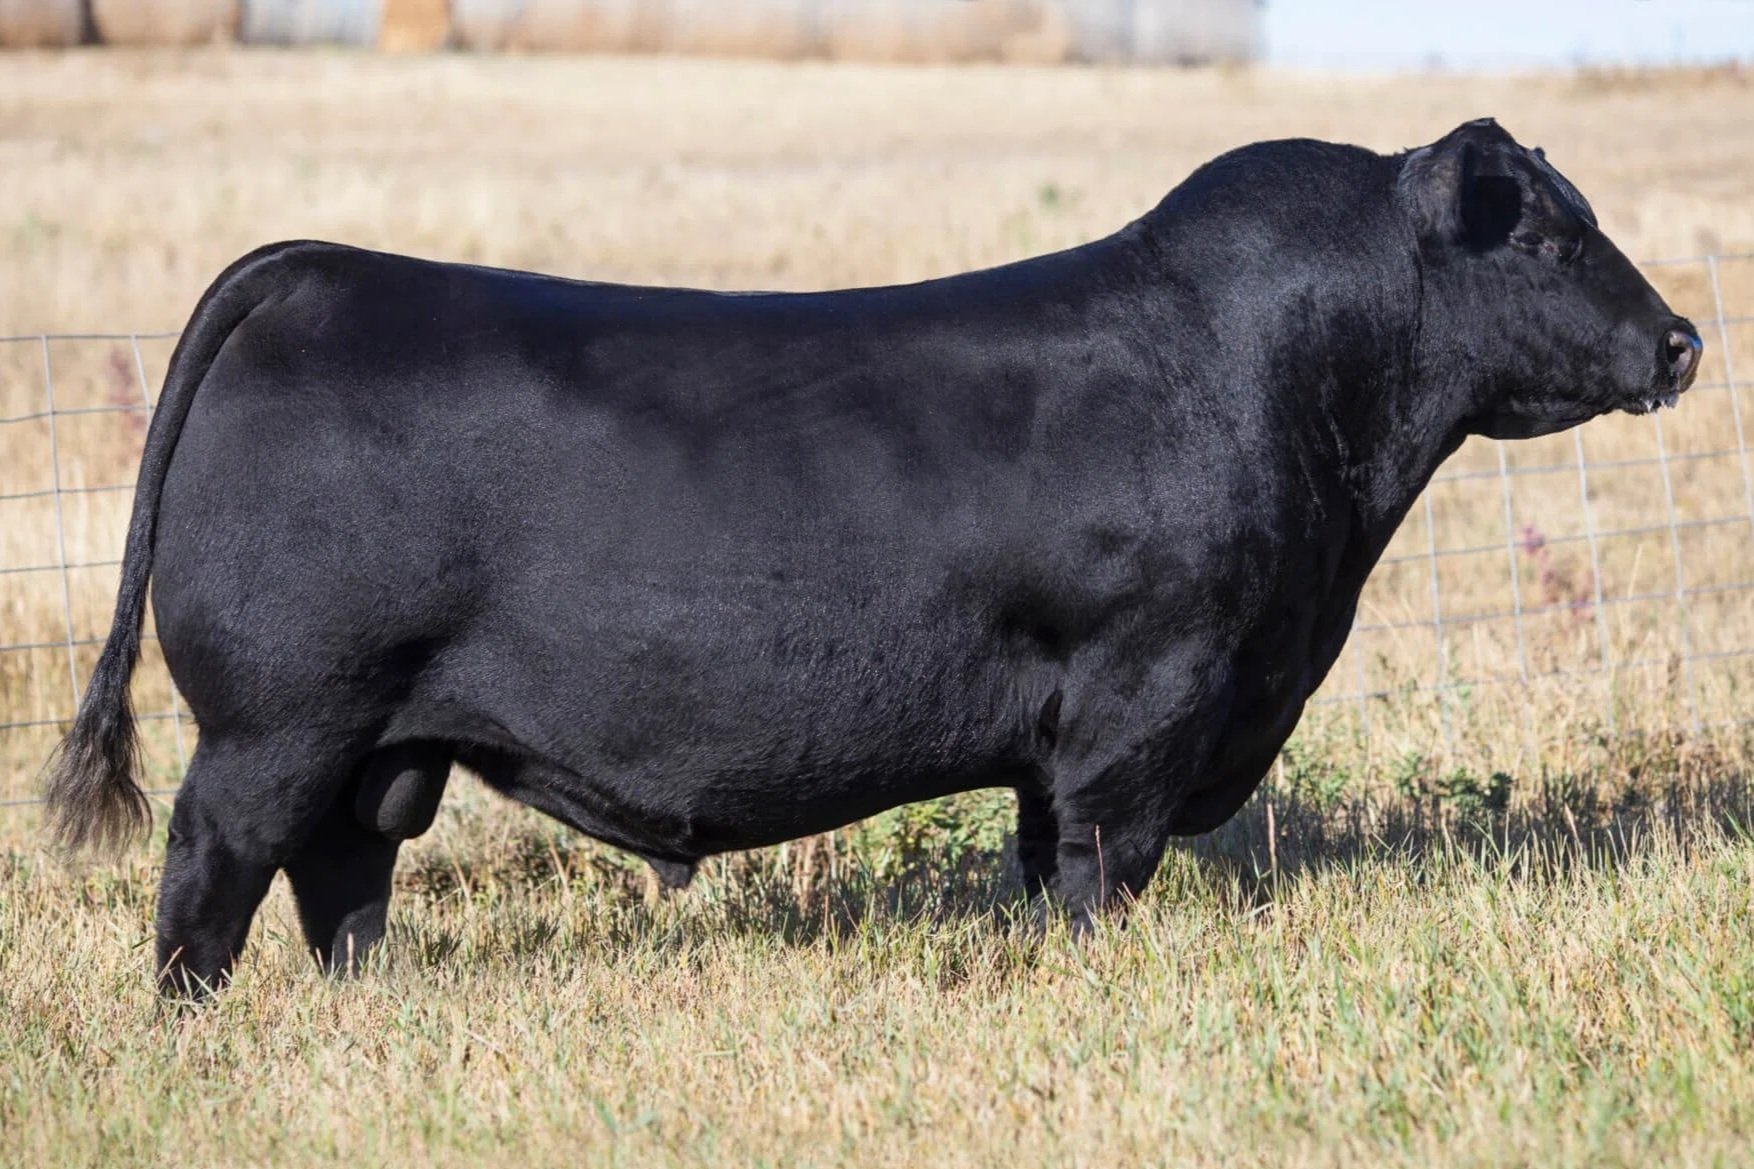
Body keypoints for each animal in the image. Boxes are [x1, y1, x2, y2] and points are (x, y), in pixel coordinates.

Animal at [45, 118, 1701, 998]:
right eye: (1544, 237)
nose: (1681, 339)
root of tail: (318, 268)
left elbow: (1044, 854)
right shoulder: (1146, 692)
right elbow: (1102, 856)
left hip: (376, 734)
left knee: (344, 871)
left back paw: (366, 998)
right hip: (277, 714)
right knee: (214, 863)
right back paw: (194, 1019)